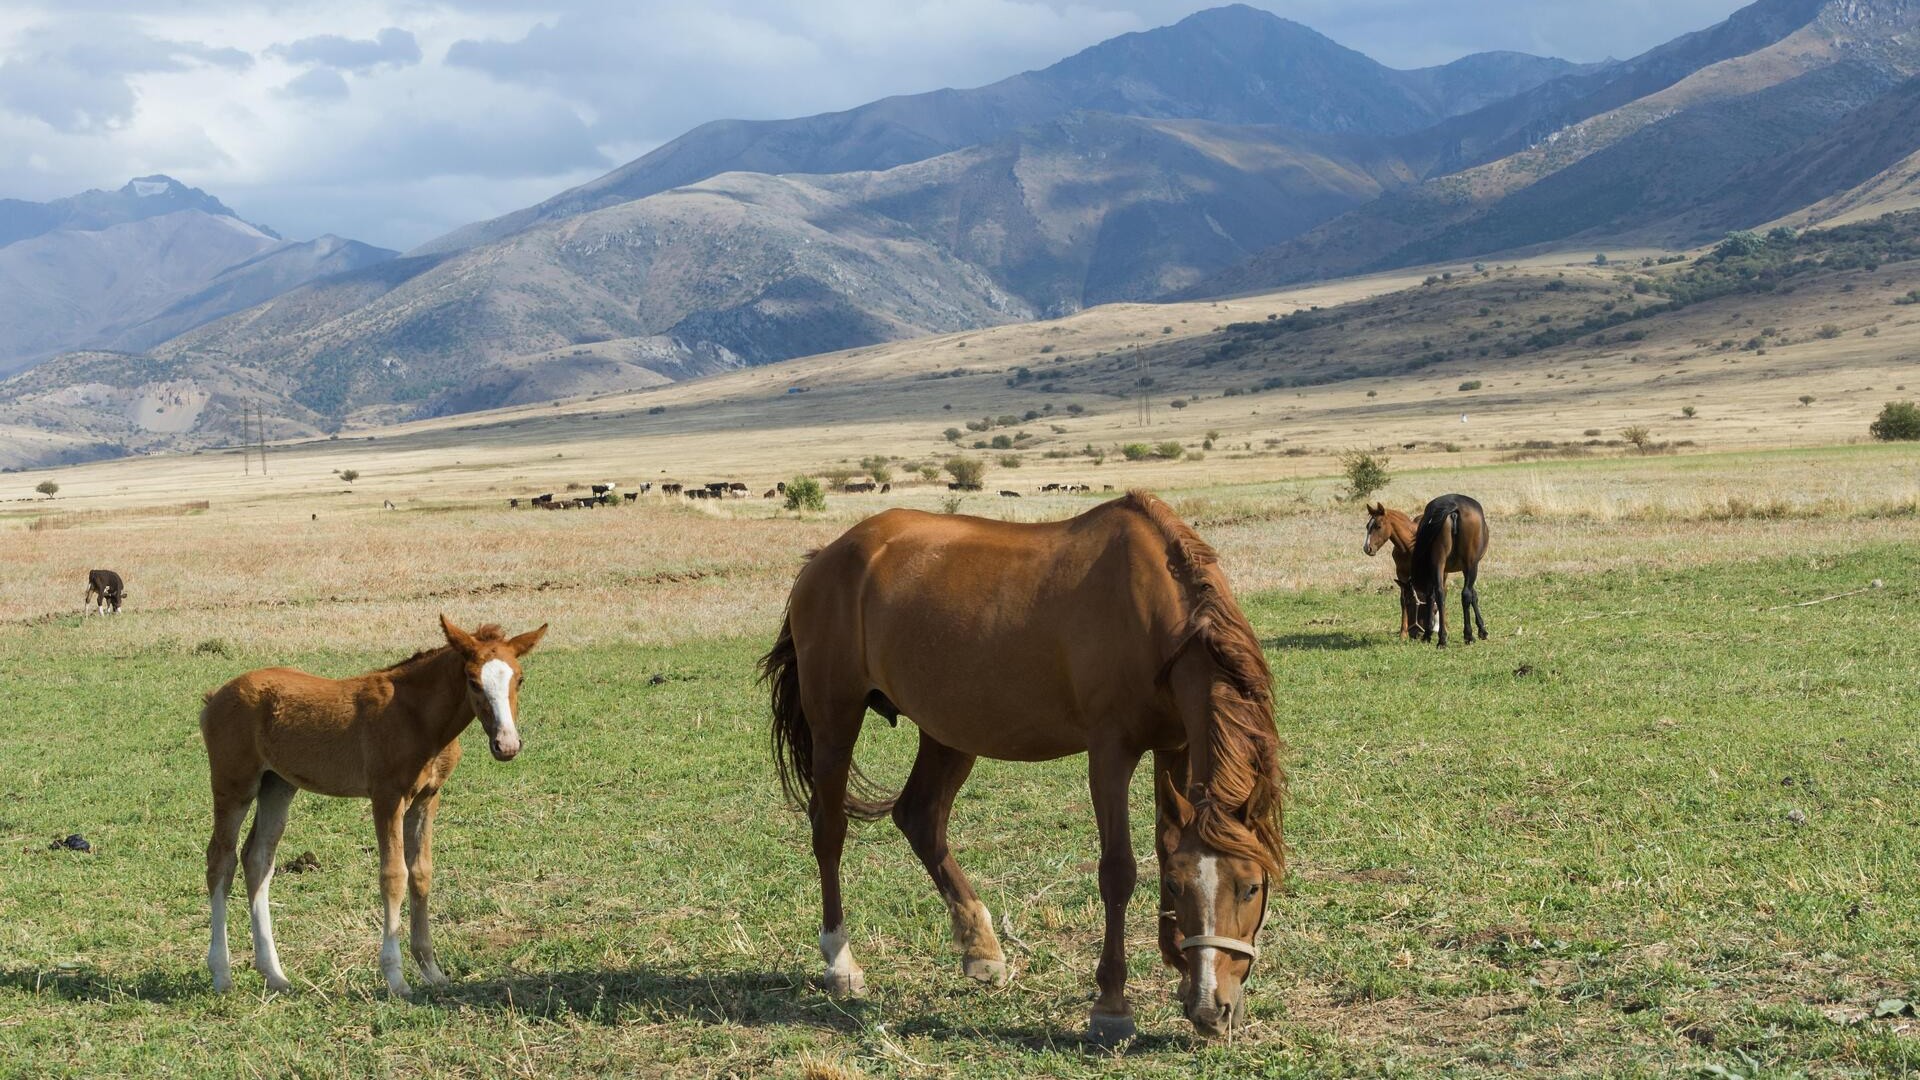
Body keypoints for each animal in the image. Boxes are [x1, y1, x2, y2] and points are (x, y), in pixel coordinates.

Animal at [199, 615, 548, 996]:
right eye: (473, 681)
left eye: (520, 678)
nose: (506, 744)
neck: (417, 718)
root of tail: (214, 698)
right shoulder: (387, 797)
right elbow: (394, 875)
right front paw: (395, 977)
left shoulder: (427, 798)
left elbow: (421, 873)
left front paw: (432, 970)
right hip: (234, 786)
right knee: (221, 860)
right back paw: (222, 974)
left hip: (277, 785)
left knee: (258, 859)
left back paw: (275, 975)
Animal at [760, 492, 1285, 1042]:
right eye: (1182, 889)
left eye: (1251, 886)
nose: (1212, 1009)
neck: (1151, 614)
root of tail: (824, 558)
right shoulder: (1110, 752)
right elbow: (1118, 870)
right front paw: (1112, 1004)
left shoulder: (1175, 745)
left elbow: (1165, 847)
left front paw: (1181, 976)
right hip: (835, 721)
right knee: (830, 831)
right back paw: (840, 963)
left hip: (949, 731)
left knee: (920, 817)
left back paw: (981, 948)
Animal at [1361, 503, 1420, 639]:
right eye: (1367, 526)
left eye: (1378, 526)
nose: (1367, 548)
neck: (1409, 546)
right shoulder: (1401, 574)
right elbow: (1404, 600)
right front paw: (1403, 633)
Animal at [1409, 494, 1490, 647]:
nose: (1413, 633)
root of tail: (1453, 506)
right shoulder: (1469, 567)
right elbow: (1473, 595)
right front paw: (1482, 630)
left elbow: (1432, 596)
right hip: (1471, 564)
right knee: (1465, 594)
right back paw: (1468, 635)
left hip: (1438, 561)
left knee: (1439, 594)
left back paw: (1441, 638)